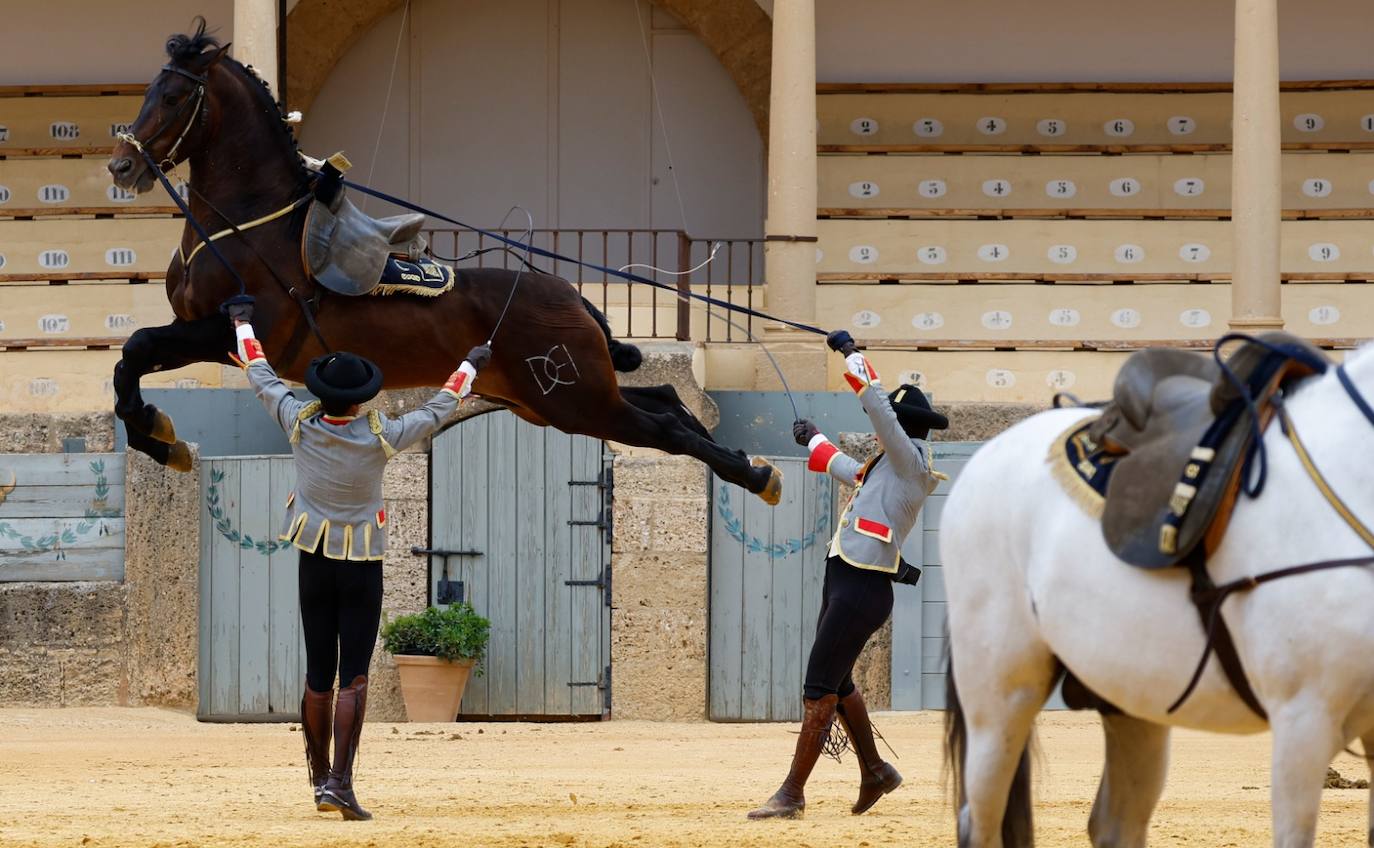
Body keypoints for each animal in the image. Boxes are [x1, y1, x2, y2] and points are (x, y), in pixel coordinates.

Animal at [107, 21, 785, 503]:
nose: (121, 165)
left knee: (667, 429)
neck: (252, 225)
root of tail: (570, 294)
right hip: (557, 402)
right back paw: (741, 461)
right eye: (146, 92)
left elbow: (135, 347)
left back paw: (756, 476)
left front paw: (157, 433)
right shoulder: (205, 335)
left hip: (578, 402)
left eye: (173, 95)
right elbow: (131, 358)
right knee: (668, 400)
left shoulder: (234, 332)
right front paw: (159, 436)